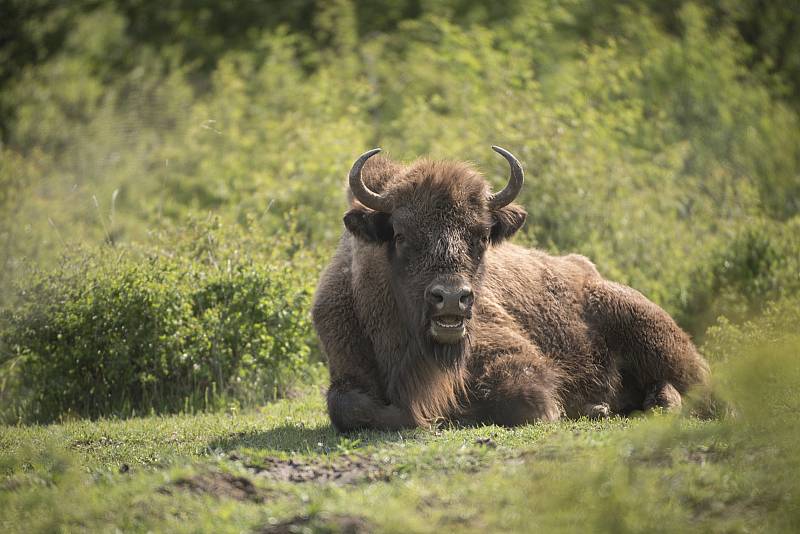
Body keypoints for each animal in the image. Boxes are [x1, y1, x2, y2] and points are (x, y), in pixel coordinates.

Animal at [310, 148, 708, 436]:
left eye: (481, 236)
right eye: (400, 235)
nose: (451, 298)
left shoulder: (516, 356)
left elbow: (526, 399)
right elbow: (347, 407)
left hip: (657, 336)